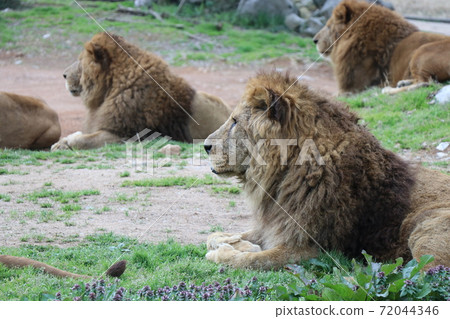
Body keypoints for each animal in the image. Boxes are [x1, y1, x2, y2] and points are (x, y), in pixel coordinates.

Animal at [51, 32, 230, 151]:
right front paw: (60, 143)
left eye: (80, 61)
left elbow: (83, 140)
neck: (108, 89)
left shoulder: (124, 134)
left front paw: (68, 141)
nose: (64, 74)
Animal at [205, 72, 450, 270]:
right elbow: (222, 235)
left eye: (235, 122)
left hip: (425, 228)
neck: (283, 176)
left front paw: (225, 253)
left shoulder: (313, 250)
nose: (206, 146)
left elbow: (253, 260)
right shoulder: (277, 223)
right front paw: (233, 241)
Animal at [312, 0, 450, 94]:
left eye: (328, 26)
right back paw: (402, 82)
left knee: (425, 82)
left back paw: (388, 90)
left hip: (421, 51)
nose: (314, 40)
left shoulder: (354, 88)